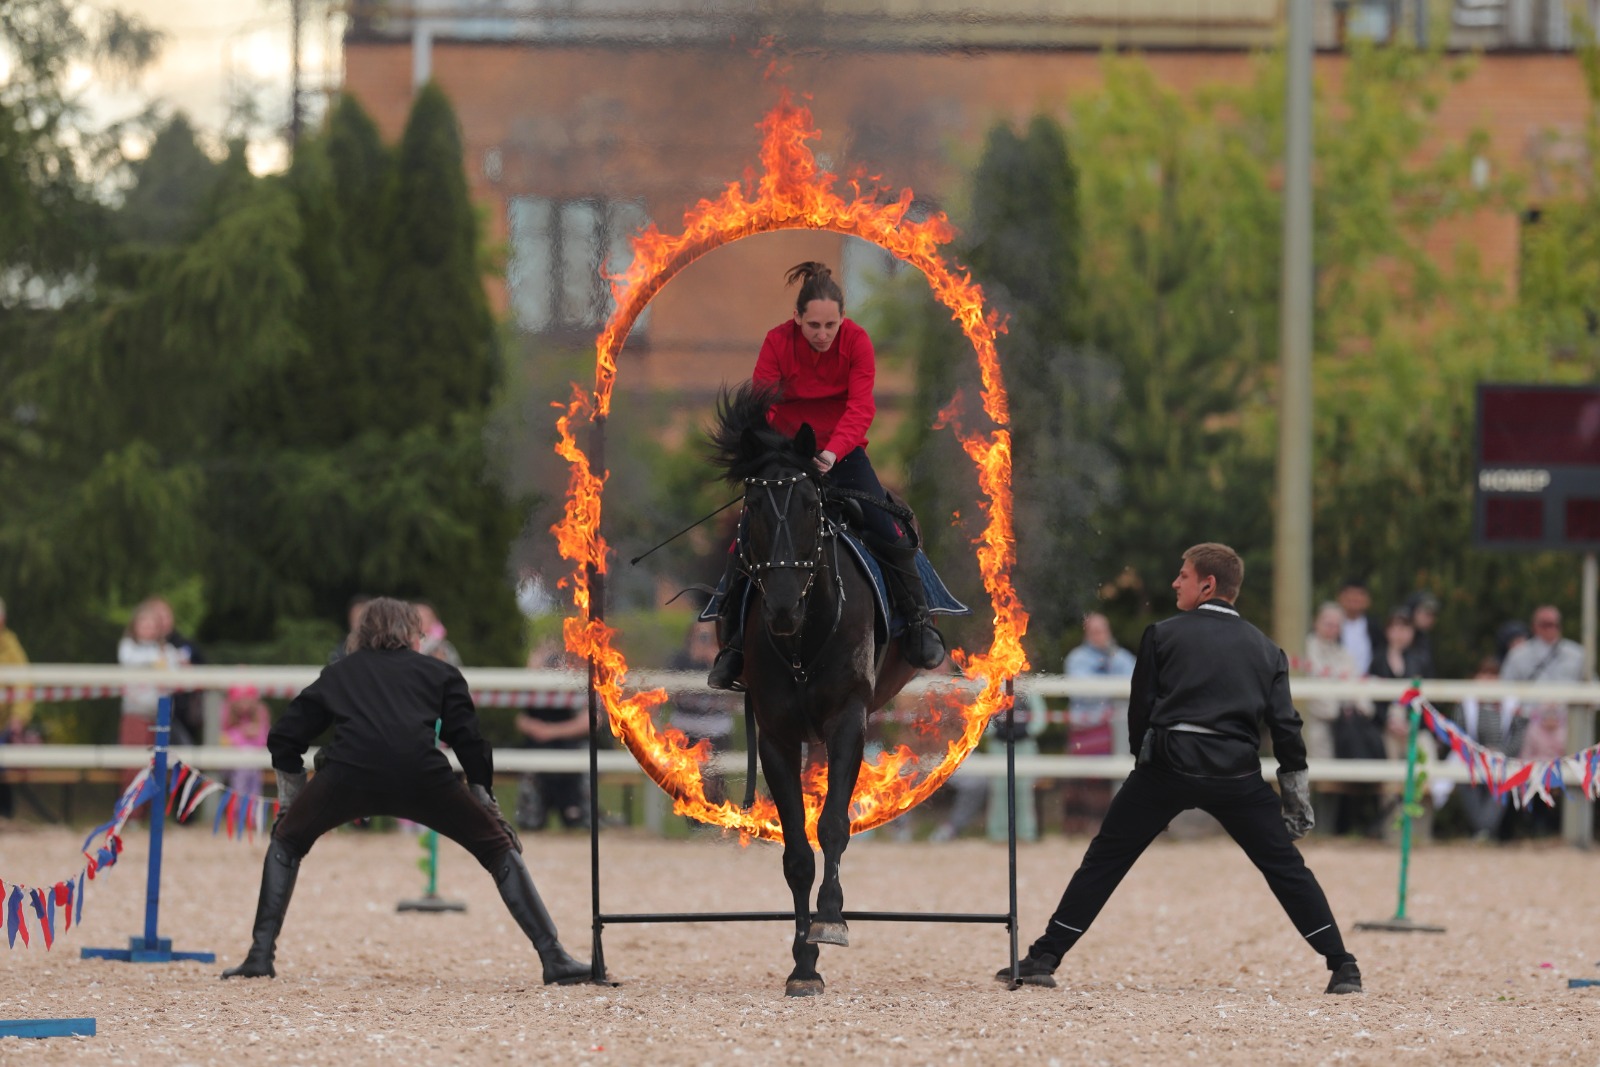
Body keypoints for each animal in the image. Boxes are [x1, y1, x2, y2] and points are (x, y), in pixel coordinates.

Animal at [707, 385, 921, 1004]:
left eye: (808, 505)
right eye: (753, 507)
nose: (780, 607)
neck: (803, 636)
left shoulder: (848, 720)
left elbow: (832, 826)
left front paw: (830, 920)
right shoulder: (777, 737)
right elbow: (798, 853)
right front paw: (803, 963)